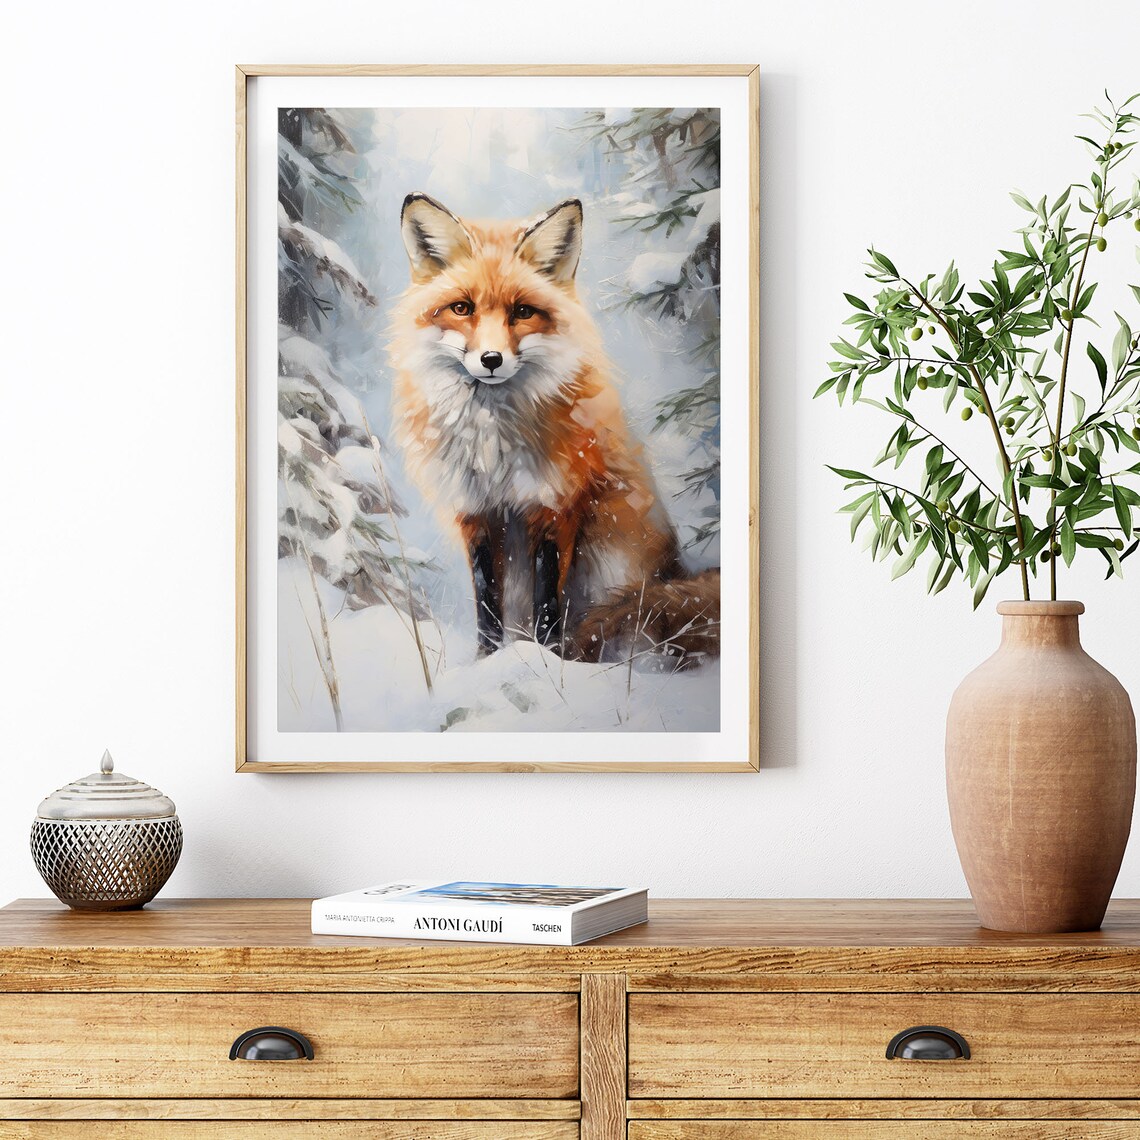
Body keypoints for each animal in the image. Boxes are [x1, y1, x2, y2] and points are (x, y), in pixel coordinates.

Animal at [388, 192, 719, 667]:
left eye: (523, 312)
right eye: (462, 308)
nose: (491, 360)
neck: (494, 445)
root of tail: (675, 569)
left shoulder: (555, 505)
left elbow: (548, 606)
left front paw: (547, 664)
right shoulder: (477, 513)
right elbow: (487, 603)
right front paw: (487, 662)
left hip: (612, 559)